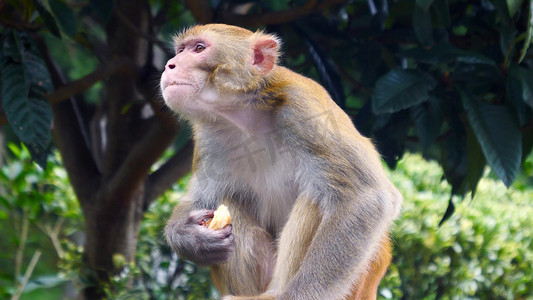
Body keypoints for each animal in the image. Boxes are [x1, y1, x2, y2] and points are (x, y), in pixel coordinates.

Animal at [160, 24, 402, 300]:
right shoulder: (207, 138)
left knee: (318, 197)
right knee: (229, 197)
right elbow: (197, 200)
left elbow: (367, 197)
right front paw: (190, 237)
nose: (170, 64)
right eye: (180, 50)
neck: (248, 118)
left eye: (199, 48)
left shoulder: (304, 111)